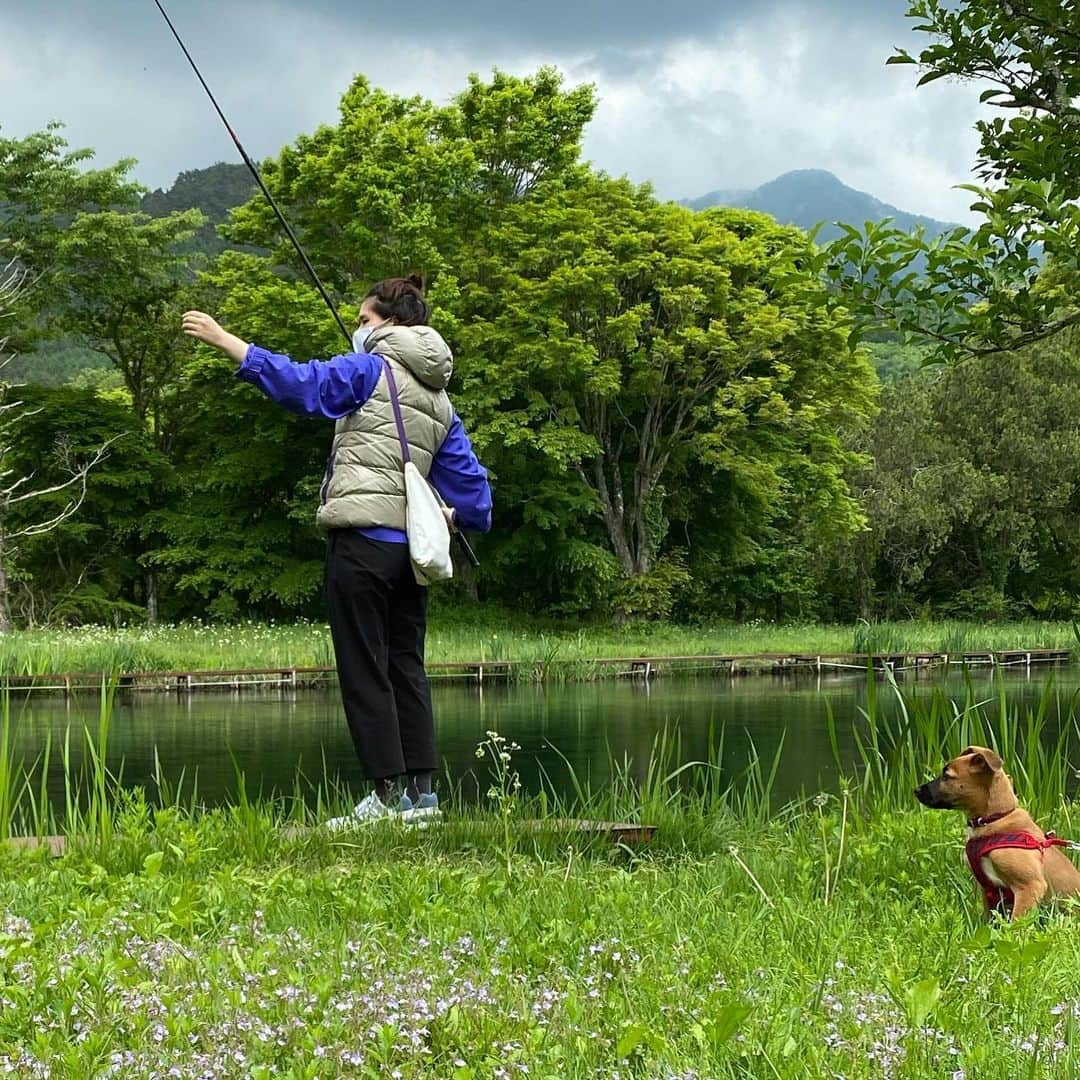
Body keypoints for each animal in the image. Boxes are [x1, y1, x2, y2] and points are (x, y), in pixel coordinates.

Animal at [911, 743, 1080, 920]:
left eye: (947, 776)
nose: (916, 790)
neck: (994, 819)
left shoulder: (1030, 886)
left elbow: (1016, 923)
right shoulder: (989, 892)